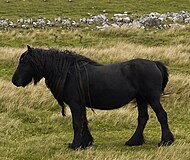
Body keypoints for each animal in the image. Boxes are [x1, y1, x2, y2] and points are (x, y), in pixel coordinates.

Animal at [11, 45, 174, 149]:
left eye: (24, 62)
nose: (14, 81)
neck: (69, 74)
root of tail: (154, 63)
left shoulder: (75, 104)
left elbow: (77, 123)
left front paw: (75, 145)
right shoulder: (80, 104)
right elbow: (84, 122)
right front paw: (86, 143)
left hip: (152, 98)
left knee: (162, 115)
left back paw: (166, 141)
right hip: (141, 99)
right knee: (143, 118)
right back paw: (134, 141)